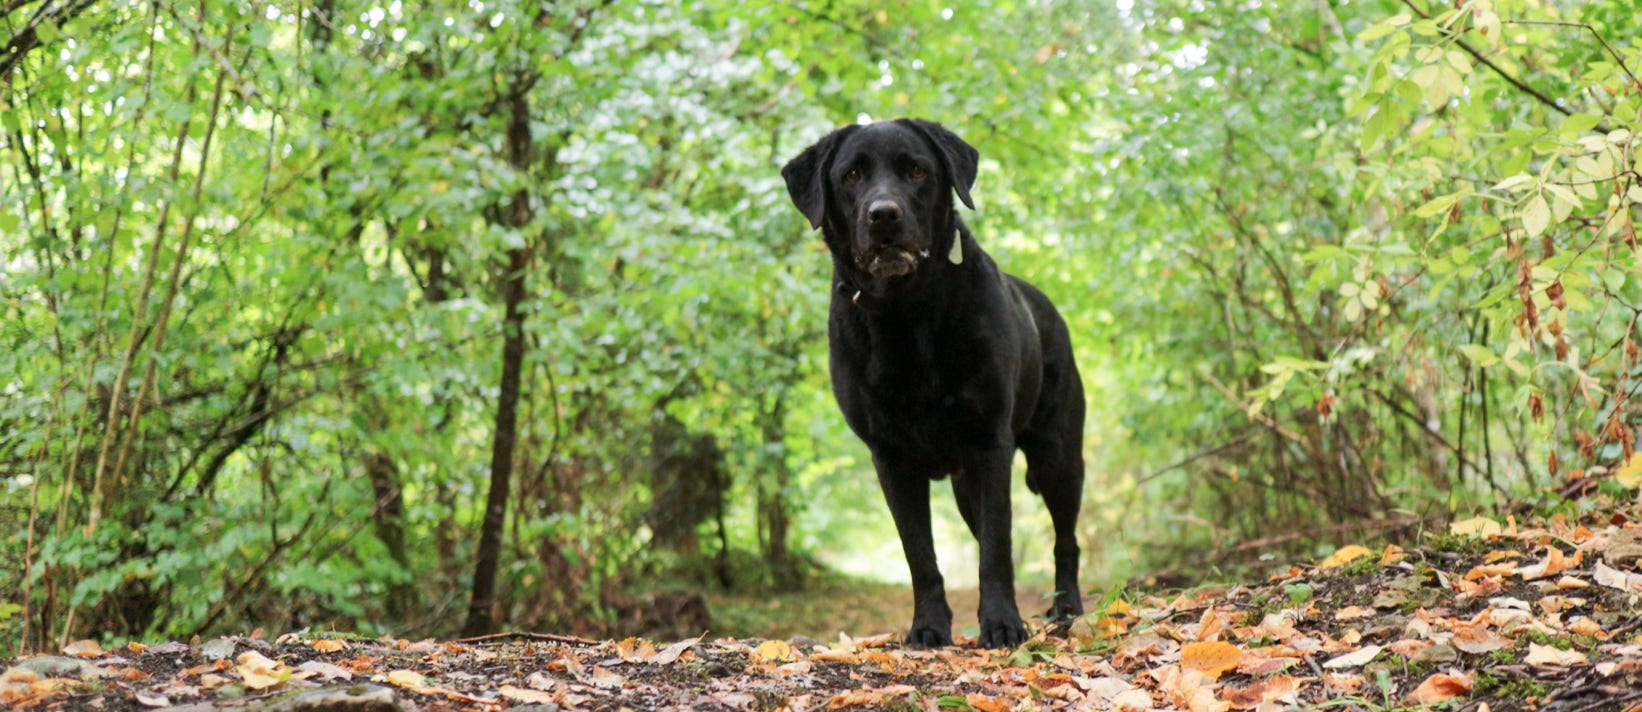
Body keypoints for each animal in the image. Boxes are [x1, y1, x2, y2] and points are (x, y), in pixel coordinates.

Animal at [784, 119, 1090, 649]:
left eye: (916, 170)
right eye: (851, 176)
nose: (883, 214)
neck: (906, 312)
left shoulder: (991, 445)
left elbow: (996, 549)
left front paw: (1002, 624)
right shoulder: (889, 458)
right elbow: (920, 555)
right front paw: (928, 627)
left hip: (1057, 457)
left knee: (1064, 541)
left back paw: (1066, 608)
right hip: (969, 485)